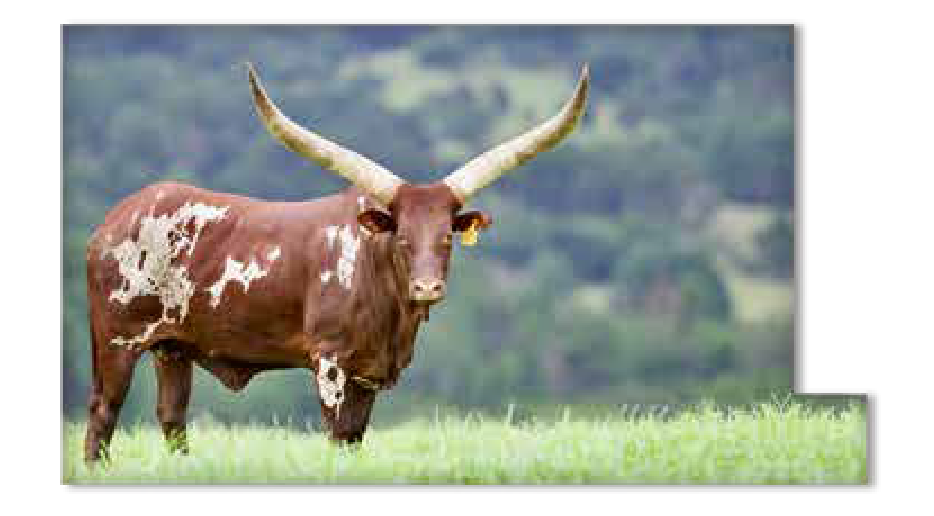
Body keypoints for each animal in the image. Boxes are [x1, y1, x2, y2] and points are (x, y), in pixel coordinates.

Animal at [83, 62, 588, 462]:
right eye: (402, 238)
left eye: (447, 237)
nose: (427, 288)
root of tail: (111, 222)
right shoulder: (329, 362)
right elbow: (335, 435)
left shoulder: (369, 374)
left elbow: (354, 438)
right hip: (117, 339)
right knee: (103, 412)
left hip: (173, 349)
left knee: (172, 418)